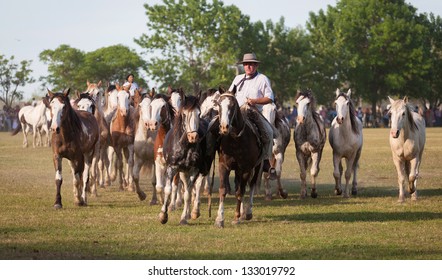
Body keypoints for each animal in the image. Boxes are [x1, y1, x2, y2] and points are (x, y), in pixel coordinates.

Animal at [215, 87, 266, 228]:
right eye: (219, 104)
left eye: (232, 105)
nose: (224, 127)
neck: (235, 141)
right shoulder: (223, 166)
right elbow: (223, 190)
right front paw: (219, 219)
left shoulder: (246, 169)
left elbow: (240, 192)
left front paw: (237, 217)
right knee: (239, 185)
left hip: (257, 166)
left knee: (251, 185)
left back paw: (247, 212)